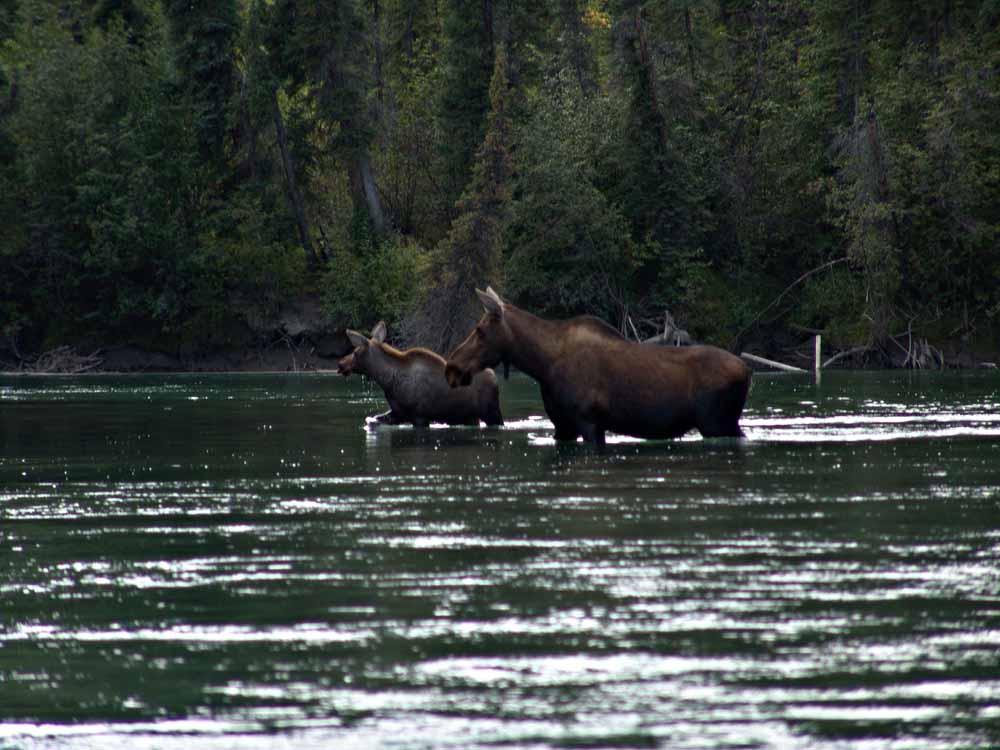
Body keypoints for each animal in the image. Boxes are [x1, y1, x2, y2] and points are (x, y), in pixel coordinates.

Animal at [338, 322, 508, 428]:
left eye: (355, 352)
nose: (340, 364)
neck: (386, 381)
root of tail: (494, 377)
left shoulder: (419, 416)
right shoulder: (398, 413)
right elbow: (375, 420)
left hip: (491, 412)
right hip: (469, 416)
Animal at [446, 290, 752, 446]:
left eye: (480, 330)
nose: (452, 367)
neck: (542, 365)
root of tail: (748, 372)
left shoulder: (589, 421)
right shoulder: (564, 426)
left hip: (717, 422)